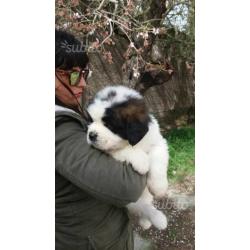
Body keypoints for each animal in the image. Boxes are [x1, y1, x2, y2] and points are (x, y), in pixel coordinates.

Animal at [87, 85, 169, 229]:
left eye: (109, 125)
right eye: (91, 121)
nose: (91, 135)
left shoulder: (158, 142)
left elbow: (158, 160)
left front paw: (159, 188)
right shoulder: (111, 151)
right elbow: (125, 150)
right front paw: (142, 162)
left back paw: (153, 220)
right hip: (130, 202)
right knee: (143, 207)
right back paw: (154, 219)